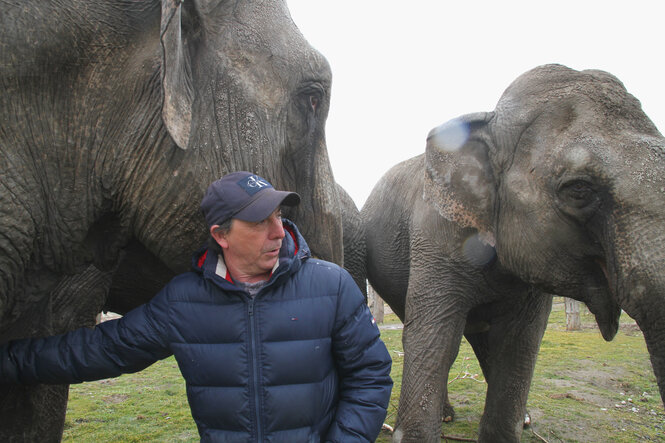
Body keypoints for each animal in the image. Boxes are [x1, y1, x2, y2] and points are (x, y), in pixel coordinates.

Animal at [364, 64, 664, 442]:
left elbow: (518, 344)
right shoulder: (436, 236)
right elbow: (435, 337)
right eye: (578, 190)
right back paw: (449, 416)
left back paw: (524, 420)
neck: (489, 122)